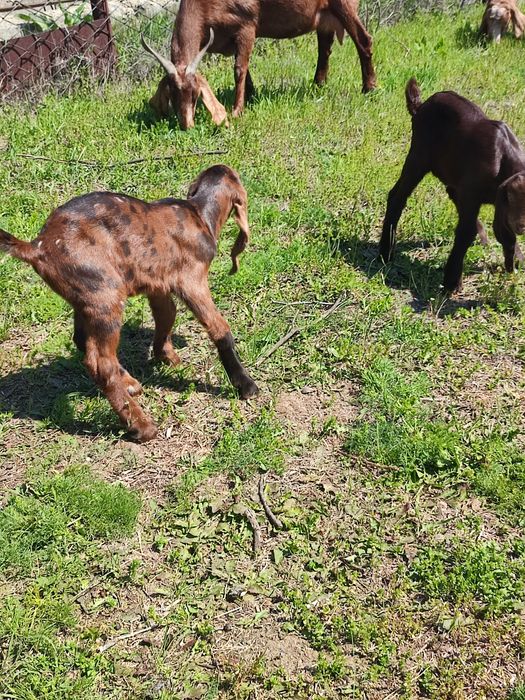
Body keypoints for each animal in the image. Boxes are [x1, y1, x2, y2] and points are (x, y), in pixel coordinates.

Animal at [0, 165, 258, 442]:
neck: (198, 213)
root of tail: (37, 247)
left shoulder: (158, 285)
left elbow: (167, 315)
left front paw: (166, 356)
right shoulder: (192, 280)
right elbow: (219, 328)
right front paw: (245, 384)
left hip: (87, 297)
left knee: (83, 342)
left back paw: (130, 384)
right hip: (105, 293)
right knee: (100, 363)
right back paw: (140, 426)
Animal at [141, 0, 376, 129]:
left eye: (196, 94)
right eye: (171, 94)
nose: (186, 125)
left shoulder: (247, 25)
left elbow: (239, 69)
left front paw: (237, 110)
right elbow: (246, 70)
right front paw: (251, 95)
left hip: (344, 5)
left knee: (363, 40)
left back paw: (369, 88)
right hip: (323, 16)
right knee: (325, 46)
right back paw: (318, 84)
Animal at [379, 79, 525, 293]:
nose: (522, 226)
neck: (505, 159)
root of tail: (420, 105)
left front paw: (517, 259)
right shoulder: (471, 193)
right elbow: (466, 232)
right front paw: (452, 281)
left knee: (450, 191)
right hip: (419, 156)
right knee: (397, 196)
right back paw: (385, 251)